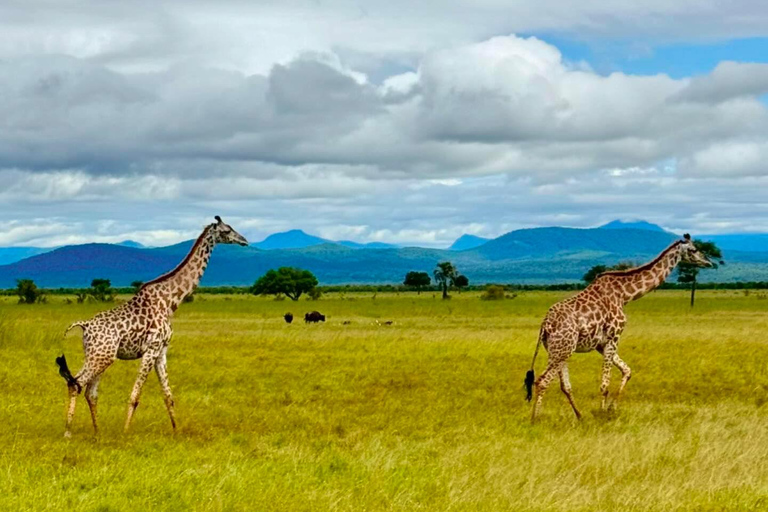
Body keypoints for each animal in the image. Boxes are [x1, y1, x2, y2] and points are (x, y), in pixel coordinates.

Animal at [57, 216, 249, 436]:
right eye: (226, 231)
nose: (244, 240)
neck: (169, 301)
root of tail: (85, 325)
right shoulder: (151, 349)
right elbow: (135, 396)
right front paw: (125, 432)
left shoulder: (162, 350)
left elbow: (168, 395)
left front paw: (177, 431)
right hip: (101, 357)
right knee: (77, 383)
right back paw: (68, 432)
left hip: (100, 356)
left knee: (89, 391)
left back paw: (97, 431)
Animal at [524, 234, 712, 422]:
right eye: (694, 249)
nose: (709, 262)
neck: (624, 295)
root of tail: (545, 325)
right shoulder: (614, 336)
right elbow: (605, 384)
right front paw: (602, 413)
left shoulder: (600, 344)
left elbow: (627, 370)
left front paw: (611, 408)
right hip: (562, 349)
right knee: (543, 380)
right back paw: (534, 418)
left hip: (560, 350)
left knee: (565, 386)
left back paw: (579, 416)